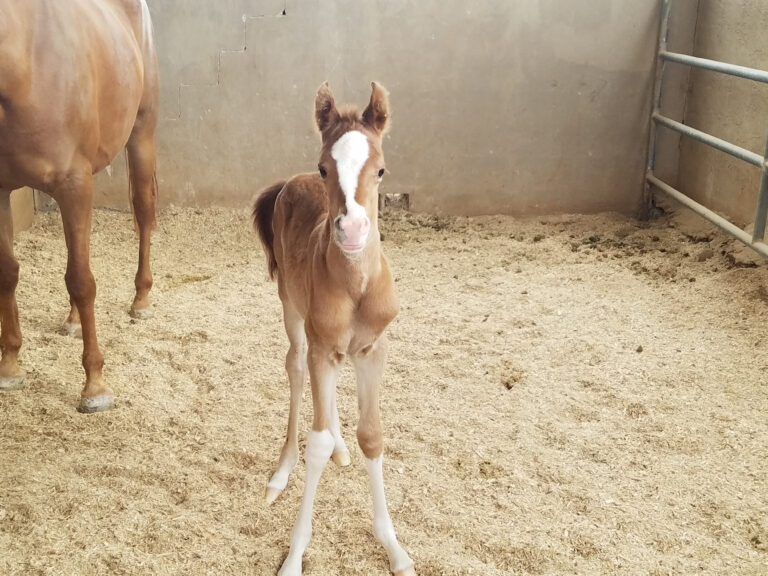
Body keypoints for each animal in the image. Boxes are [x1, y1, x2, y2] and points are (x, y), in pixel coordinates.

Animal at [0, 0, 159, 412]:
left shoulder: (74, 185)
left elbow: (82, 282)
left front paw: (95, 386)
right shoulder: (1, 190)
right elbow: (8, 272)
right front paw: (10, 366)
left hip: (141, 132)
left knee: (144, 215)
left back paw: (141, 299)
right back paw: (72, 320)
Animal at [253, 82, 414, 576]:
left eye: (381, 169)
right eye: (325, 167)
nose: (353, 230)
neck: (356, 287)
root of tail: (289, 181)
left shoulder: (372, 349)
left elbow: (372, 436)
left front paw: (394, 548)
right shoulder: (322, 345)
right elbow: (317, 443)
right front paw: (294, 555)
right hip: (292, 309)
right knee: (295, 367)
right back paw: (281, 472)